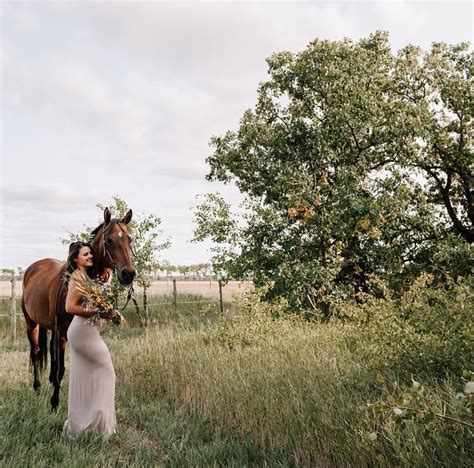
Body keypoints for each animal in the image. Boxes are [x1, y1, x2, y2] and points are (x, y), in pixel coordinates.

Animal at [21, 207, 135, 411]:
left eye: (129, 239)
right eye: (109, 240)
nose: (128, 274)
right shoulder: (62, 331)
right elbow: (60, 367)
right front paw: (54, 404)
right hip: (31, 324)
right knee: (35, 353)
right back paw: (37, 388)